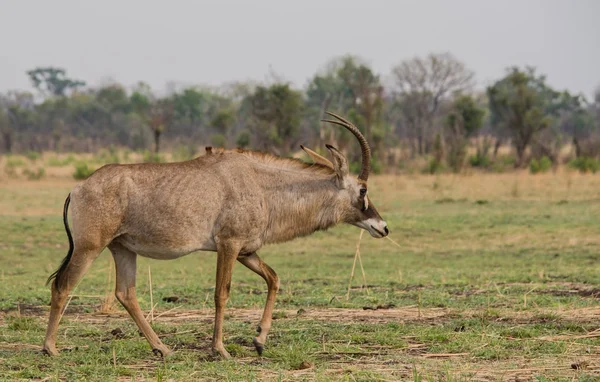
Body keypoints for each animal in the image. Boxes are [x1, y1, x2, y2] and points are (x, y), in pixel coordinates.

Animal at [42, 111, 390, 358]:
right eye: (362, 189)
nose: (383, 227)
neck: (261, 184)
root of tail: (78, 188)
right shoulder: (229, 245)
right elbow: (221, 294)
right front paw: (220, 349)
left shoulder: (247, 250)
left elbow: (274, 279)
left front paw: (259, 340)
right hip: (90, 247)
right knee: (63, 286)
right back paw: (50, 349)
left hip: (122, 248)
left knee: (125, 293)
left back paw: (162, 348)